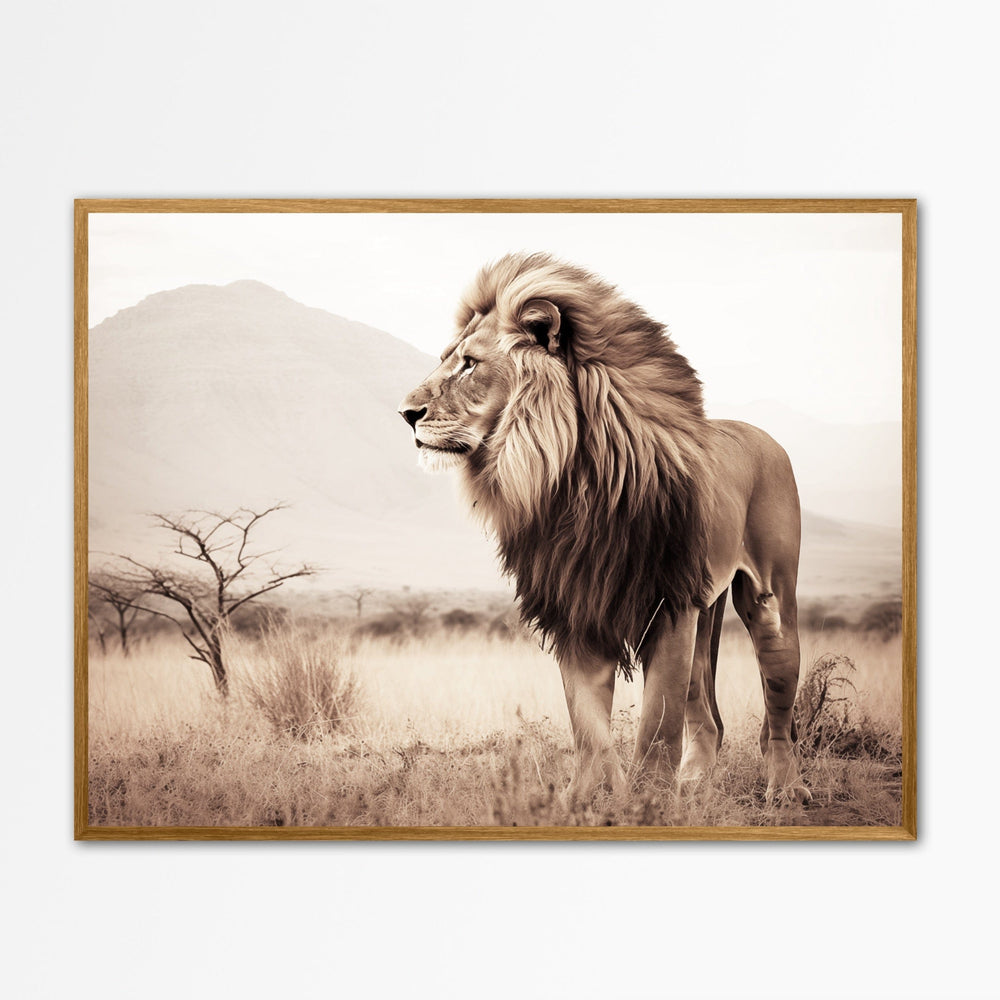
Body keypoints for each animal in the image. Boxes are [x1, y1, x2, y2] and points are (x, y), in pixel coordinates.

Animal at [398, 252, 810, 805]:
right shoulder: (576, 606)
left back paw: (785, 788)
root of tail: (764, 436)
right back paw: (694, 783)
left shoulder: (669, 604)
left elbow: (657, 723)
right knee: (709, 716)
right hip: (706, 609)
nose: (407, 413)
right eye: (449, 358)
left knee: (778, 710)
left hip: (770, 602)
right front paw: (589, 799)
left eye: (469, 363)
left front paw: (650, 800)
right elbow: (589, 725)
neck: (573, 479)